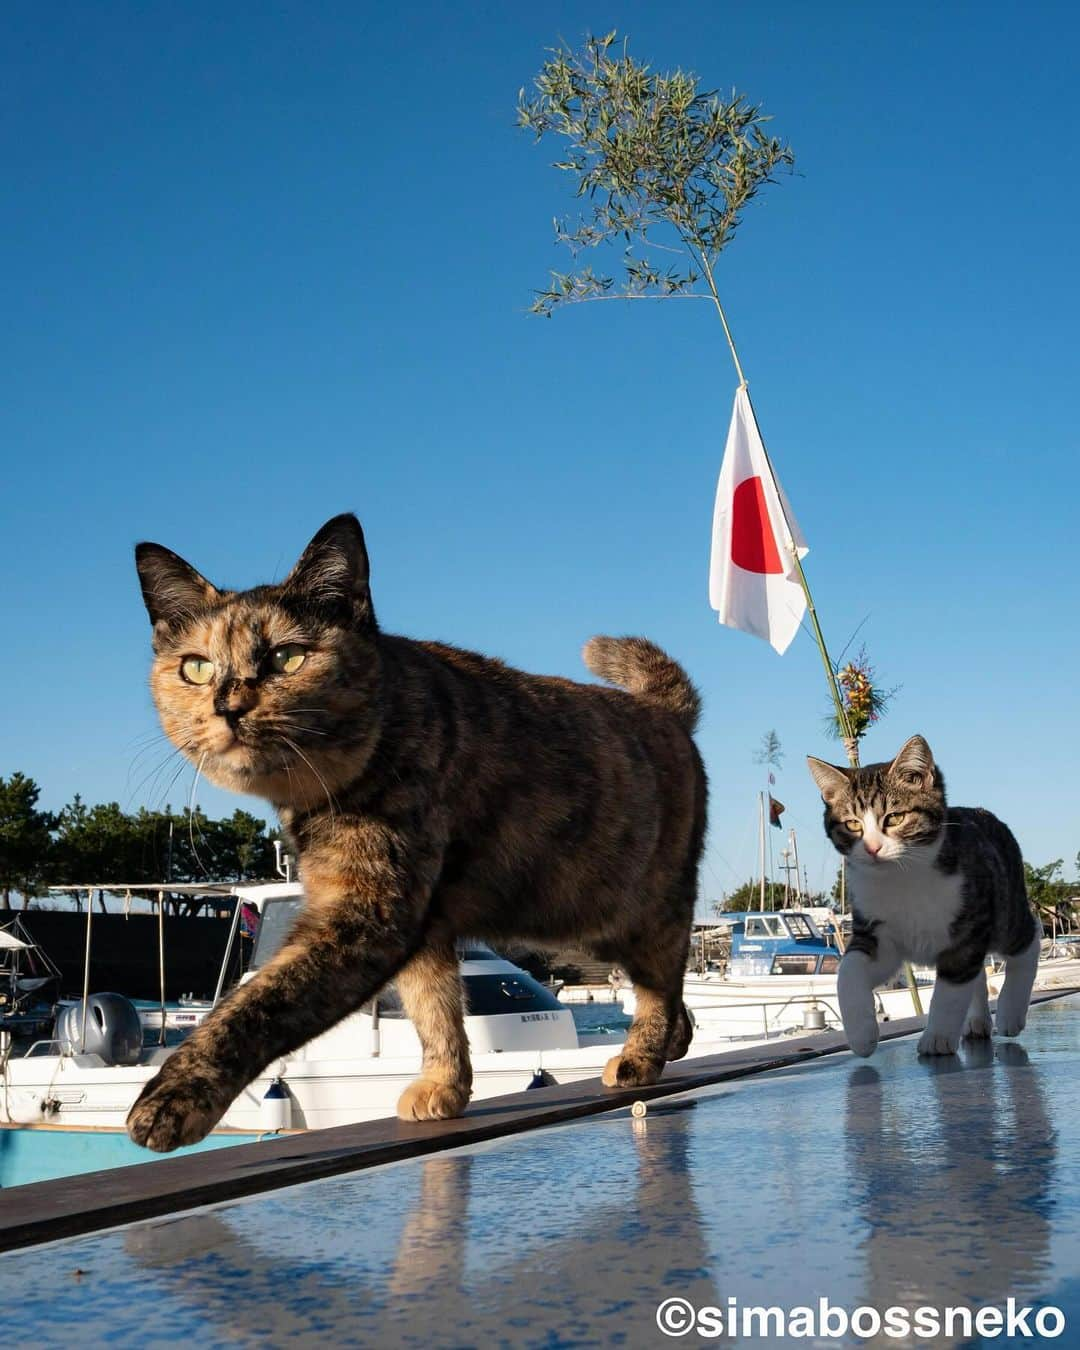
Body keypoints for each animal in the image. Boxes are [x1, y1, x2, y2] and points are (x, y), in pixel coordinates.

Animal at [128, 513, 707, 1150]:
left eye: (288, 658)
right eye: (196, 667)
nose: (227, 705)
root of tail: (666, 711)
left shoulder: (370, 914)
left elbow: (258, 1002)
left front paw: (173, 1097)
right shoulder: (423, 929)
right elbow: (435, 1010)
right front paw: (444, 1086)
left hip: (624, 910)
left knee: (662, 976)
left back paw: (643, 1056)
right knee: (669, 984)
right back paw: (674, 1039)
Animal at [804, 739, 1042, 1053]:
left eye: (895, 818)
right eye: (852, 824)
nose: (871, 848)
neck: (902, 877)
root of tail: (983, 812)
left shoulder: (966, 929)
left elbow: (951, 988)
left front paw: (937, 1036)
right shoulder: (876, 930)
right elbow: (849, 969)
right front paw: (861, 1033)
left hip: (1002, 907)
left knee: (1027, 936)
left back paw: (1010, 1012)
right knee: (980, 970)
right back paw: (978, 1020)